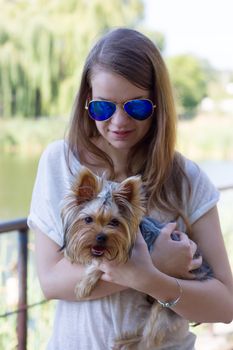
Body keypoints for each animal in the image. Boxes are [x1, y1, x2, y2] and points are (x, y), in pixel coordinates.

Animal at [60, 167, 213, 350]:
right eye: (88, 219)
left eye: (114, 222)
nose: (101, 237)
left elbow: (100, 265)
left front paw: (83, 285)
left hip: (168, 307)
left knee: (151, 338)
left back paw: (128, 342)